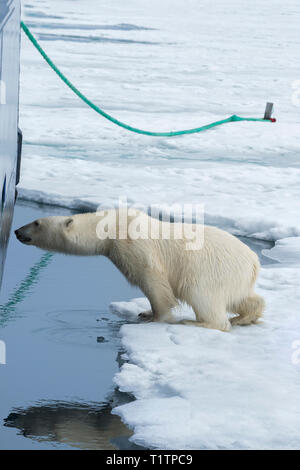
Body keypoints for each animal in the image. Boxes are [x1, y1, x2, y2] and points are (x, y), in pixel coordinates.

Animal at [15, 209, 264, 330]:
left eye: (36, 223)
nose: (18, 231)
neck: (111, 226)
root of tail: (254, 260)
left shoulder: (133, 244)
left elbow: (153, 281)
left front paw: (154, 317)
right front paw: (145, 312)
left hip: (211, 268)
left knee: (201, 294)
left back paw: (197, 322)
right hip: (235, 275)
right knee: (241, 297)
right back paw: (244, 317)